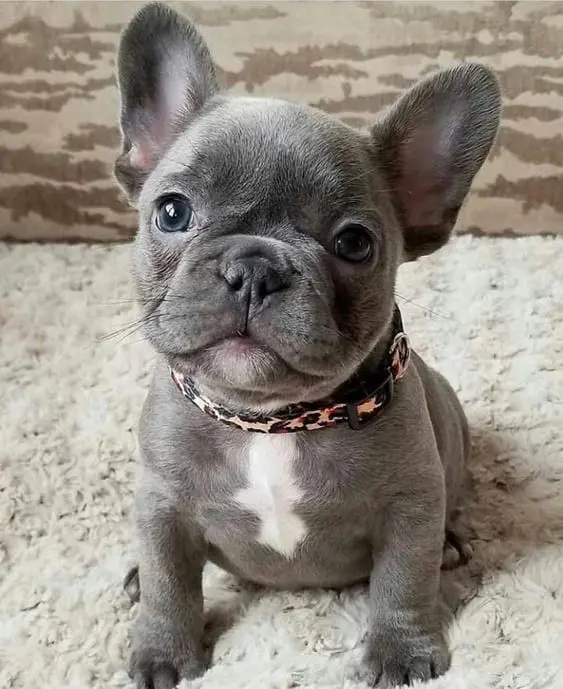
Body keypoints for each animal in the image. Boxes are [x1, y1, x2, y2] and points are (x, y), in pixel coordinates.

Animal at [114, 2, 502, 684]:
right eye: (171, 212)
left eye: (354, 244)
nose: (254, 269)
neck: (269, 422)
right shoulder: (160, 505)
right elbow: (169, 581)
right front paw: (163, 650)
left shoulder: (410, 506)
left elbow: (403, 581)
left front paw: (401, 652)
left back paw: (453, 546)